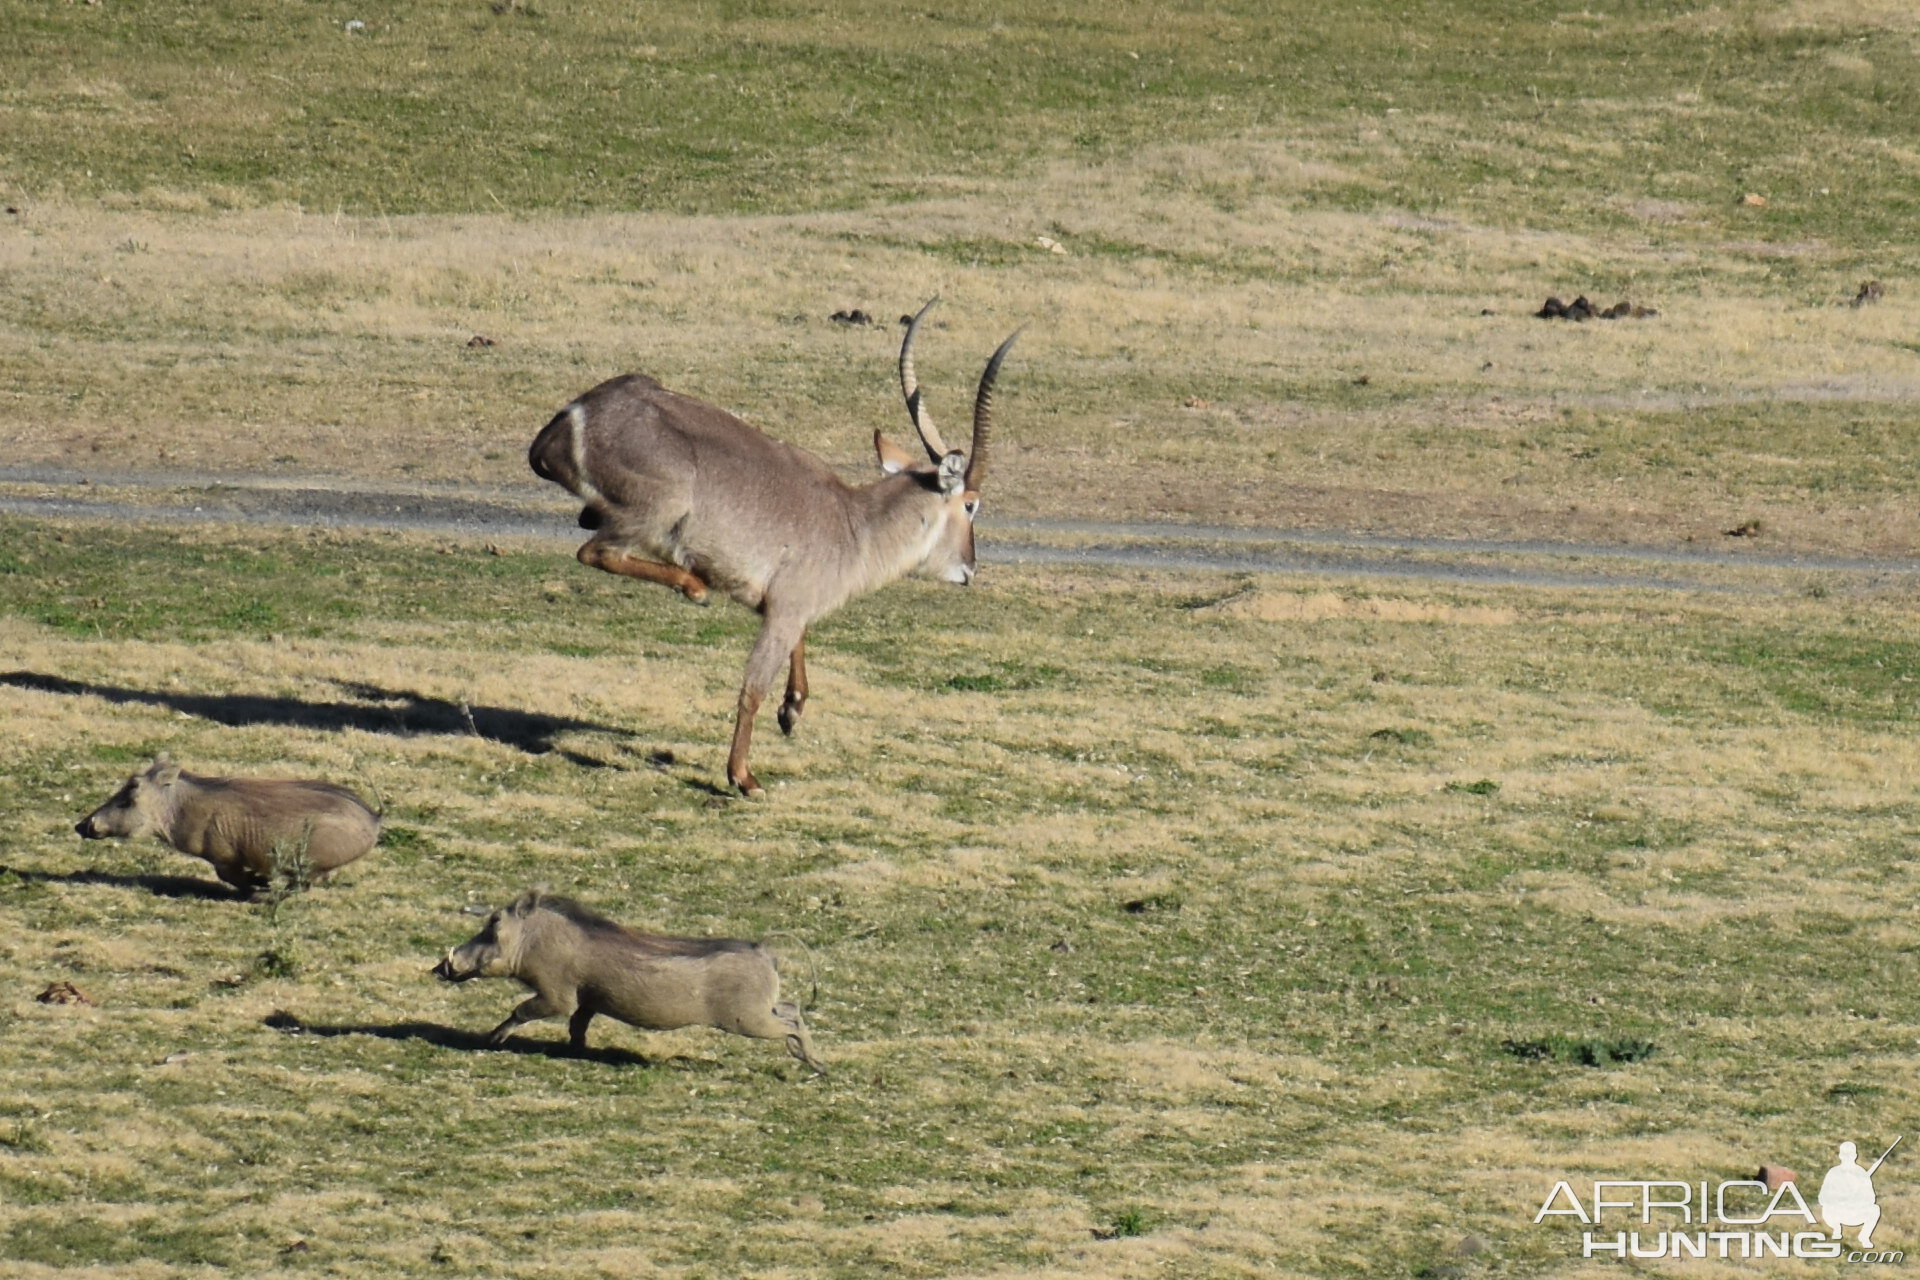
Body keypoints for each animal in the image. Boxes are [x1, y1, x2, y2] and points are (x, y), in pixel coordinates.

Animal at [526, 305, 1021, 794]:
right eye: (971, 504)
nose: (970, 569)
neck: (854, 523)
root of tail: (574, 416)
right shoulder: (786, 609)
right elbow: (753, 687)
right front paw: (743, 777)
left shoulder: (782, 607)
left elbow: (795, 645)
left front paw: (793, 709)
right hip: (655, 511)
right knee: (595, 553)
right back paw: (693, 586)